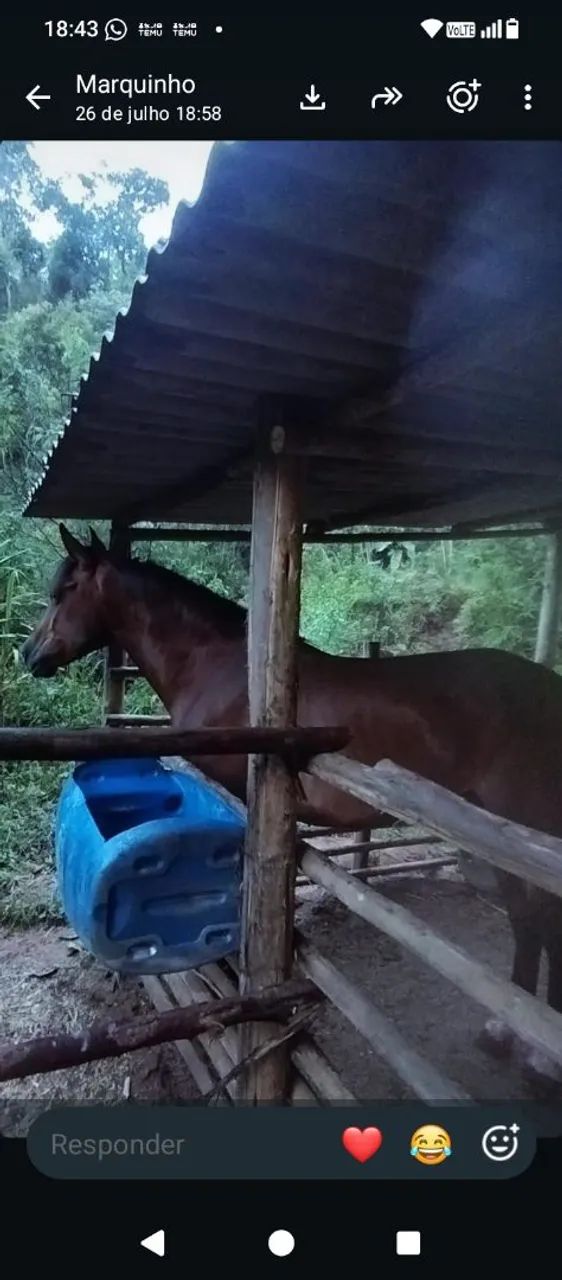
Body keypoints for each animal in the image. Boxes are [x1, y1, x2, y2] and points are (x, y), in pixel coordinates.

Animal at [20, 524, 562, 1085]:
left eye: (64, 591)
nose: (29, 655)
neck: (222, 666)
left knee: (541, 919)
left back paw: (537, 1057)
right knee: (527, 920)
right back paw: (500, 1035)